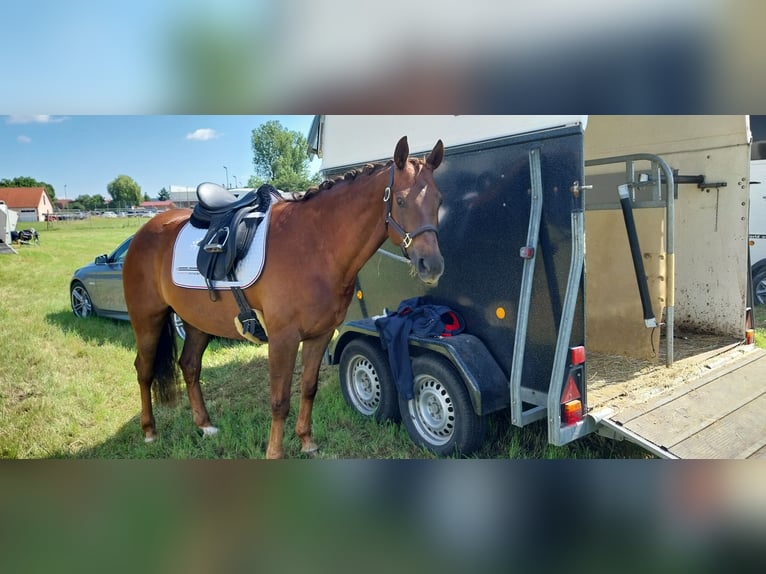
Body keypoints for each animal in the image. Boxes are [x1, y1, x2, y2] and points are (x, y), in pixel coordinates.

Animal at [123, 135, 448, 460]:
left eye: (438, 200)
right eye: (401, 200)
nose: (431, 265)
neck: (314, 246)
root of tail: (143, 233)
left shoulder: (319, 335)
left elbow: (308, 388)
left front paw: (306, 441)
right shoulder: (283, 340)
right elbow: (279, 401)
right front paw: (275, 453)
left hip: (198, 323)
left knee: (190, 366)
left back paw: (205, 425)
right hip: (147, 319)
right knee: (144, 370)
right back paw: (149, 431)